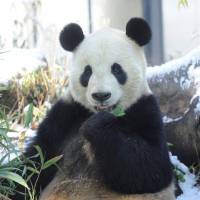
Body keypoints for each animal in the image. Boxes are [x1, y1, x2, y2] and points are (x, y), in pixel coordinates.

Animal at [12, 18, 175, 199]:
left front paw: (97, 126)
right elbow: (35, 161)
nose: (101, 95)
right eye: (87, 72)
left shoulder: (144, 109)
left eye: (117, 69)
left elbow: (152, 167)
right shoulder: (67, 114)